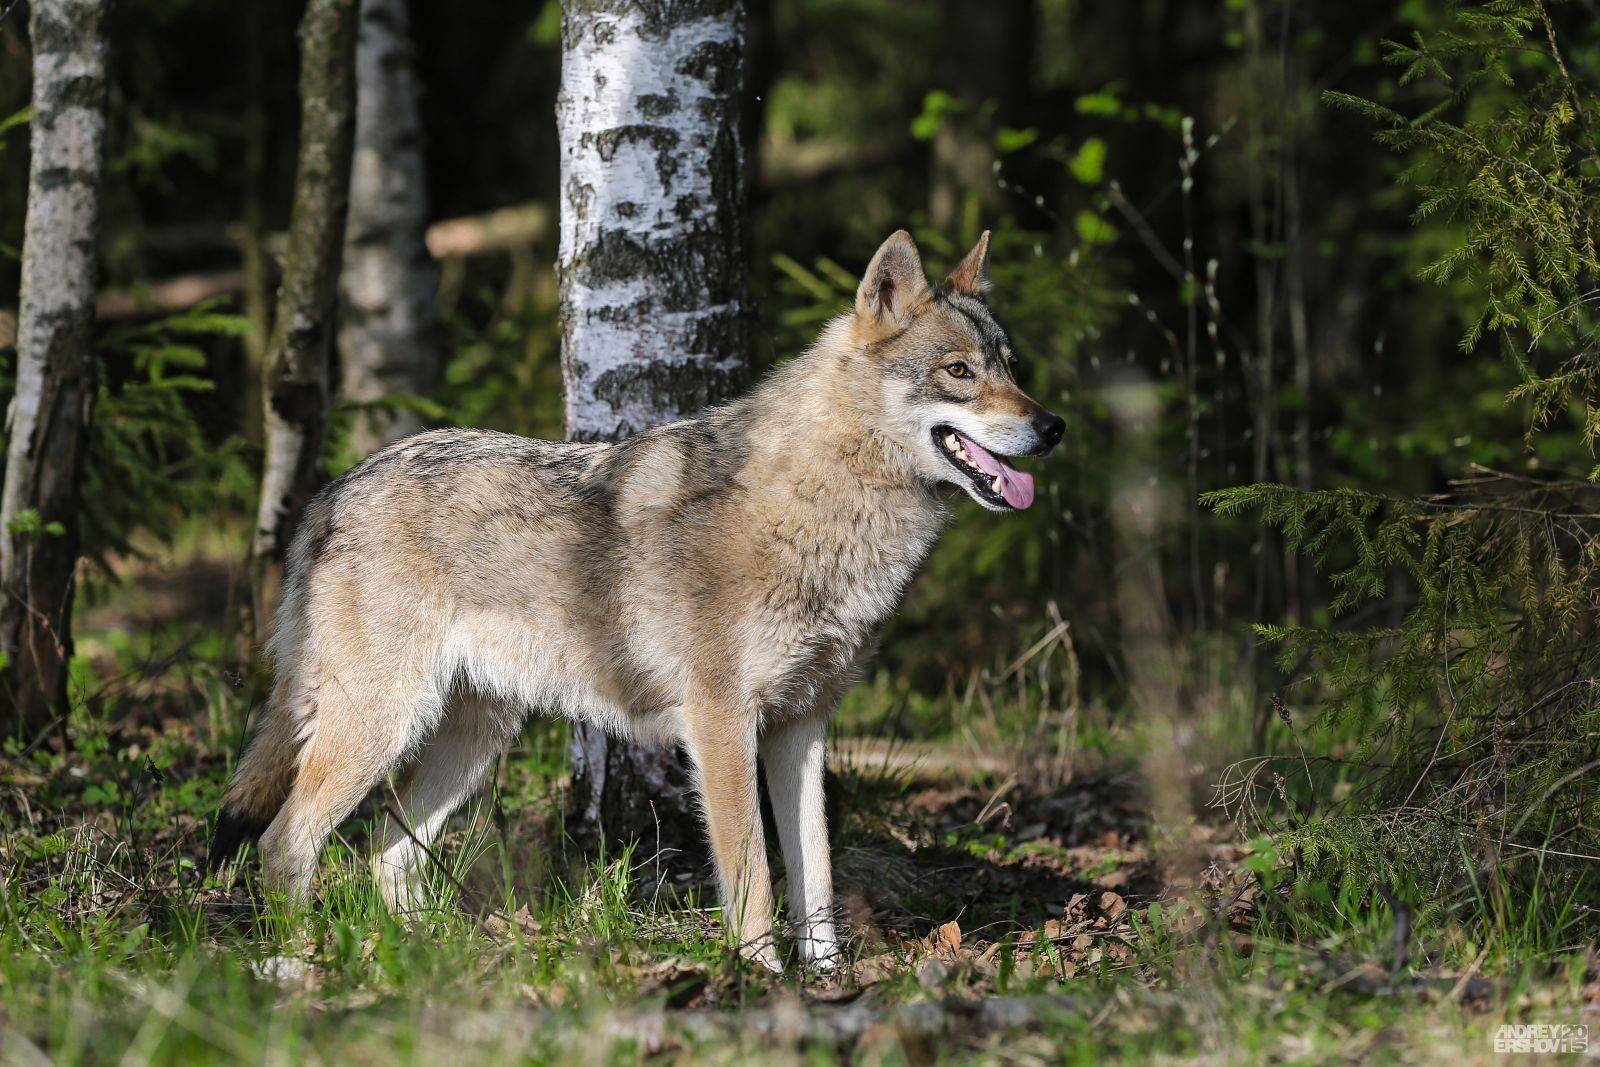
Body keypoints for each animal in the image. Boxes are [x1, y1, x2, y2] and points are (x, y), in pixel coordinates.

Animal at [209, 230, 1062, 972]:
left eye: (1011, 365)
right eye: (958, 370)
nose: (1052, 425)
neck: (819, 505)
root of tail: (331, 493)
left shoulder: (802, 727)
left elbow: (813, 875)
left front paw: (824, 981)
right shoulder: (720, 724)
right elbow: (753, 877)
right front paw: (762, 981)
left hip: (470, 740)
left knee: (386, 854)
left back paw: (424, 964)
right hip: (384, 724)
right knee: (285, 842)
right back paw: (301, 963)